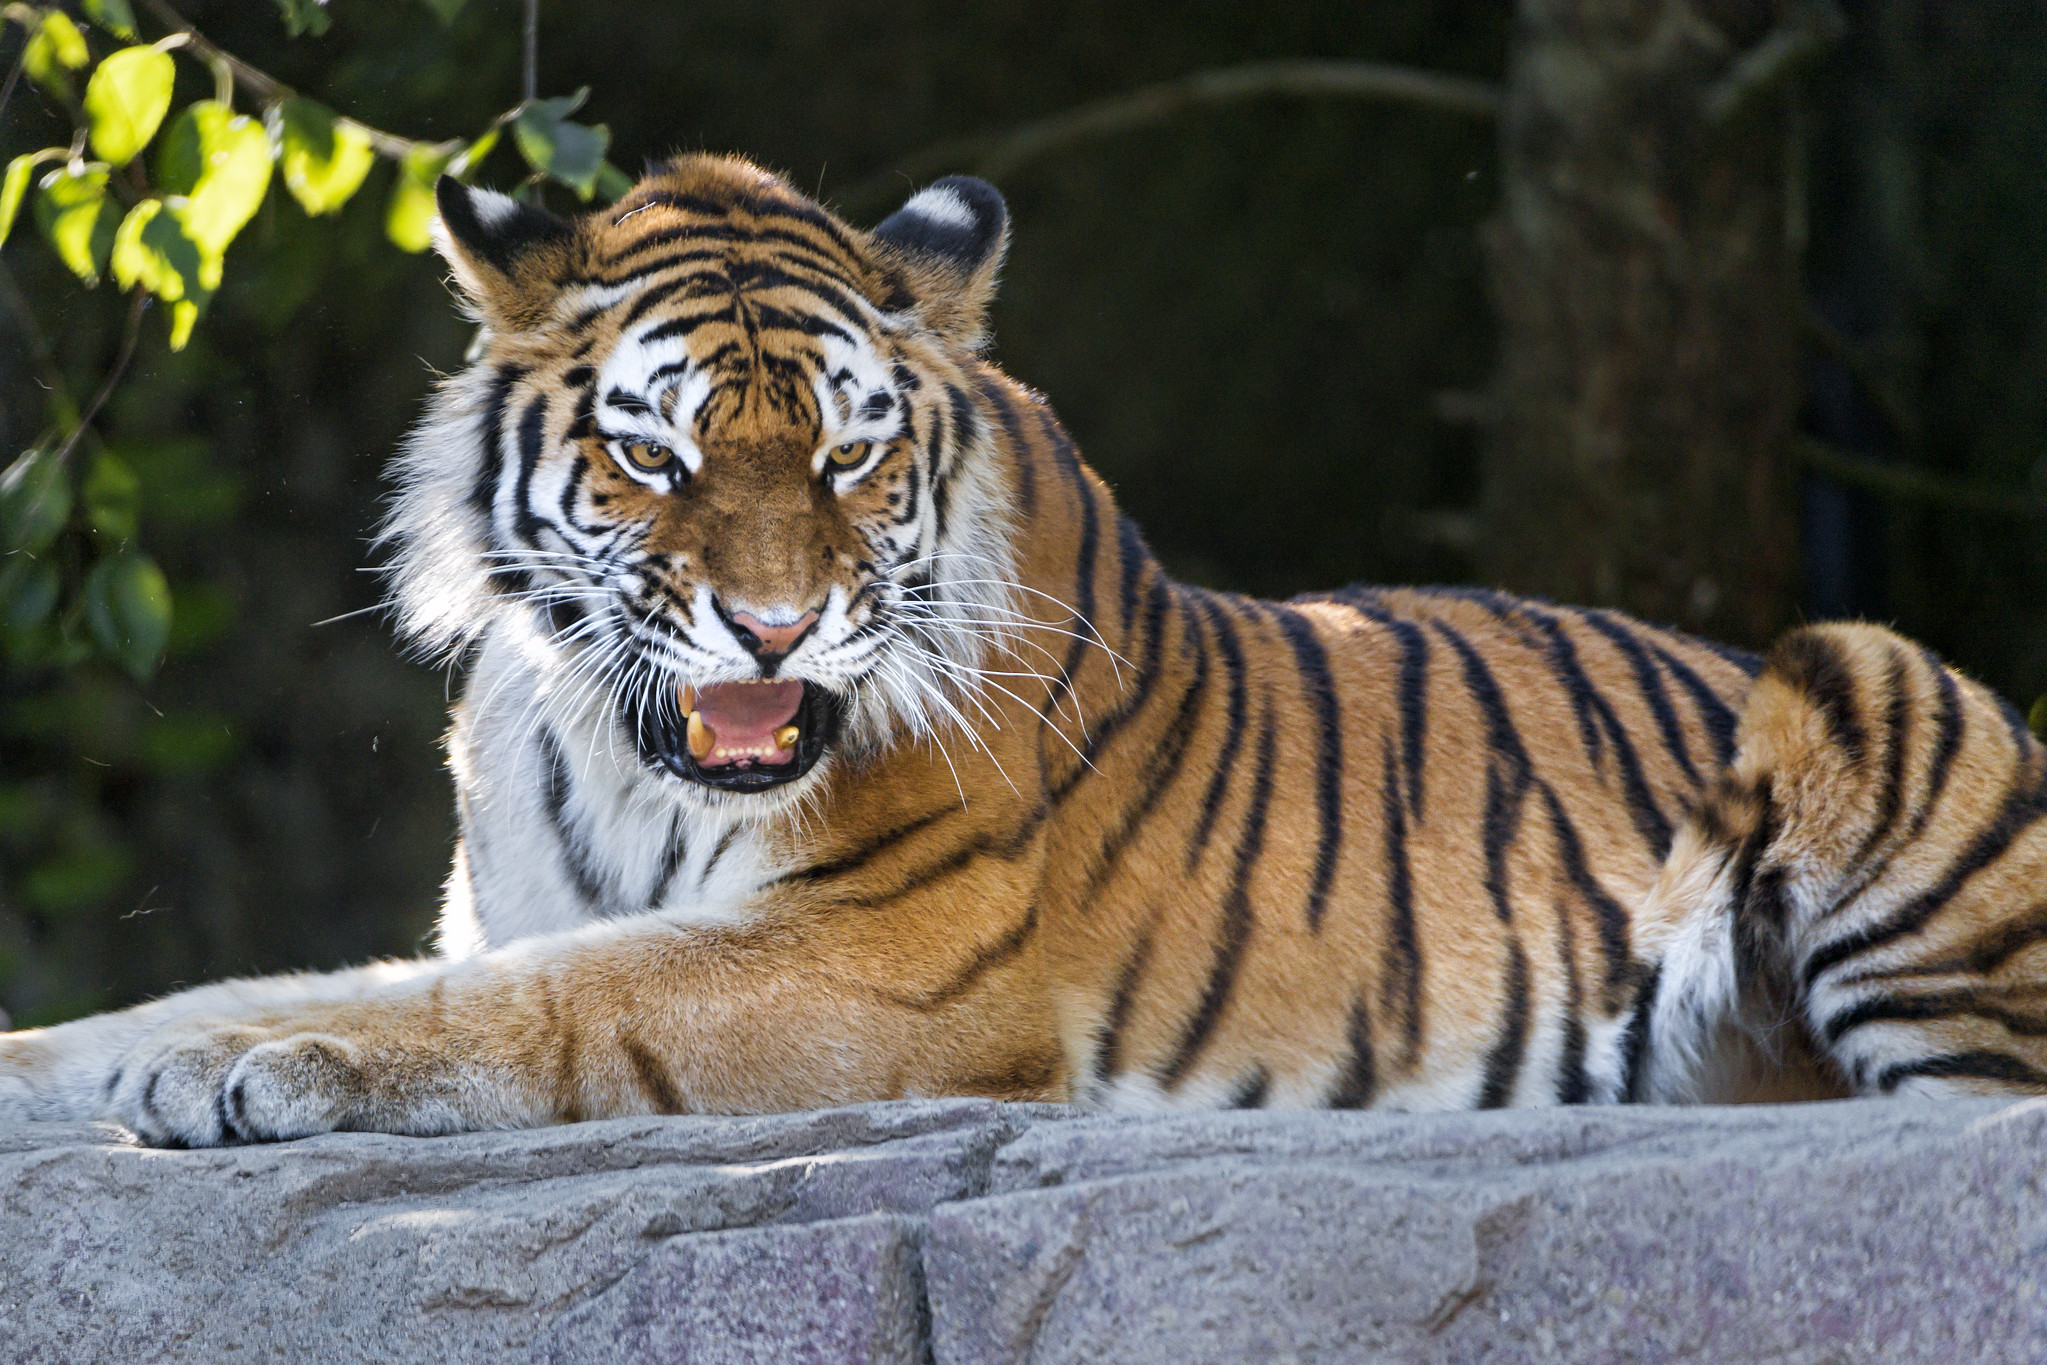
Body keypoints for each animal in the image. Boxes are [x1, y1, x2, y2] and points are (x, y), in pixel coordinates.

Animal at [3, 152, 2046, 1154]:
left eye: (846, 454)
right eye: (658, 454)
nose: (773, 622)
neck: (602, 738)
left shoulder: (877, 968)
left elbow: (532, 1010)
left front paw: (254, 1075)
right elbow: (205, 994)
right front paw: (103, 1057)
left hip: (1866, 679)